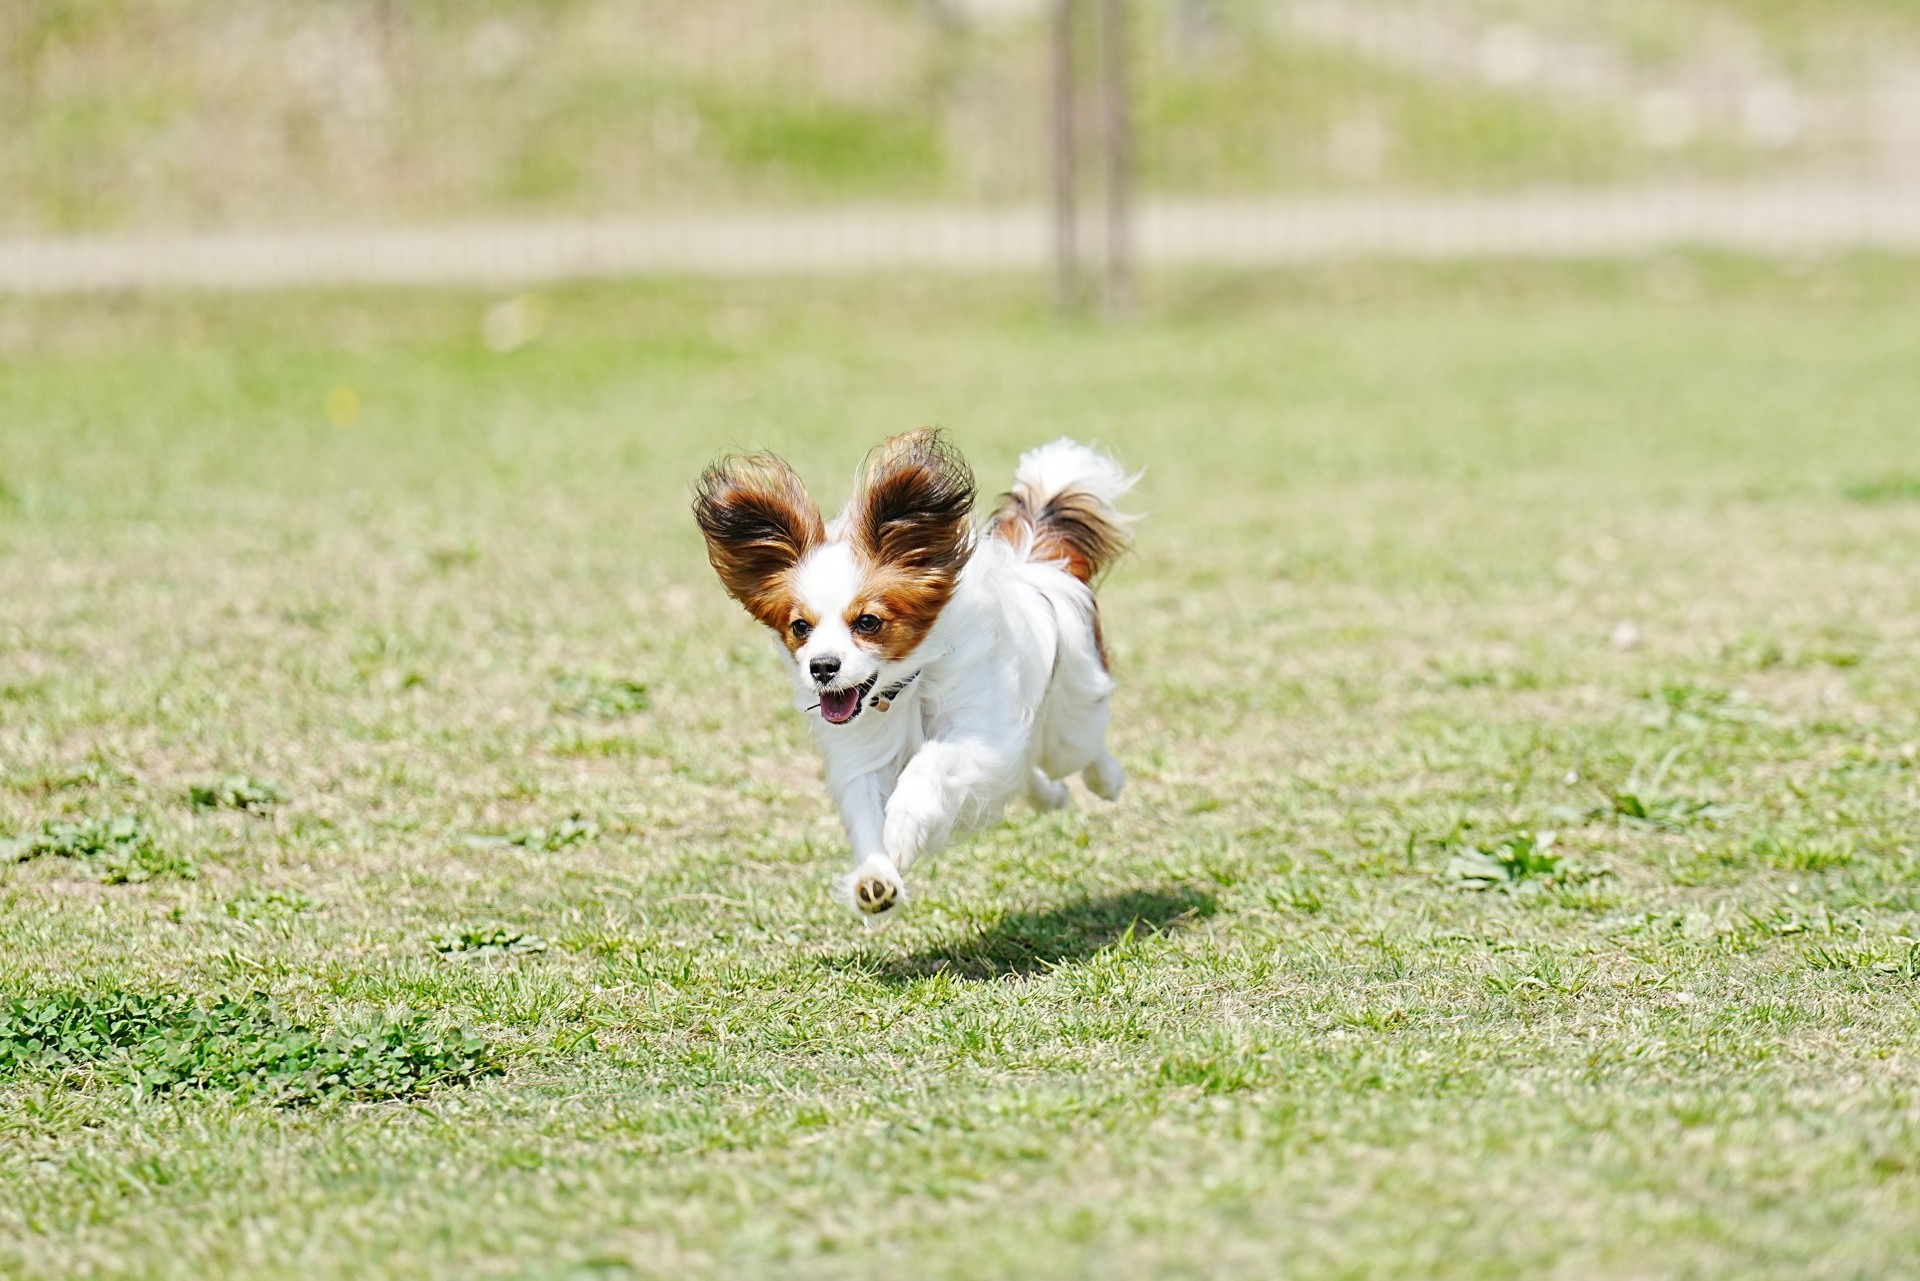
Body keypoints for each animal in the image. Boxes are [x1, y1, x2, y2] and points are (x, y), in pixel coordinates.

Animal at [695, 434, 1128, 921]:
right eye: (801, 627)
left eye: (868, 622)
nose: (822, 667)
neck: (904, 688)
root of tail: (1036, 565)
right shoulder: (865, 756)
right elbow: (866, 817)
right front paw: (875, 880)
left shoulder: (981, 735)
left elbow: (931, 761)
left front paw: (903, 826)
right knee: (1028, 772)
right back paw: (1050, 797)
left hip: (1070, 720)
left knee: (1082, 750)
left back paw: (1108, 781)